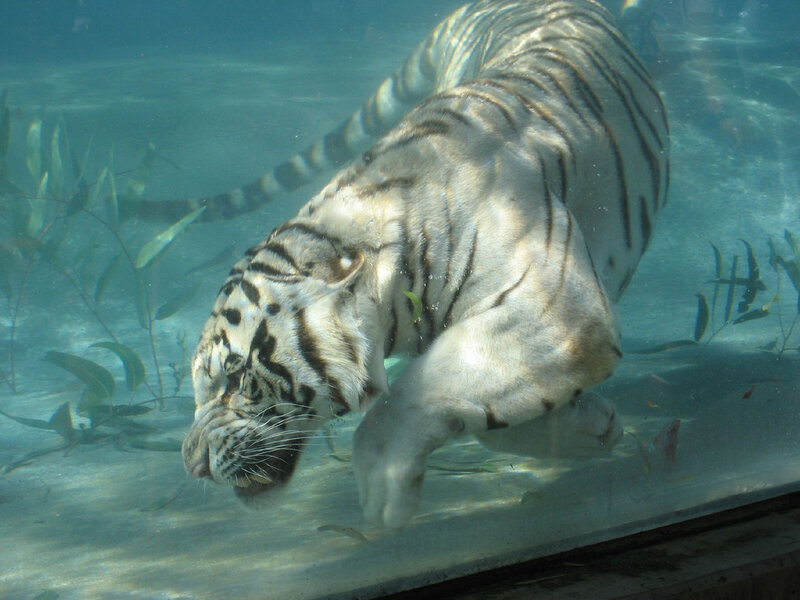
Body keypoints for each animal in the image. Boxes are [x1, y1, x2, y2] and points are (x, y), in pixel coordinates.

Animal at [176, 0, 669, 528]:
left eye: (234, 379)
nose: (193, 465)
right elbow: (488, 418)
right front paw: (594, 426)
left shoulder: (556, 310)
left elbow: (413, 394)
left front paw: (382, 492)